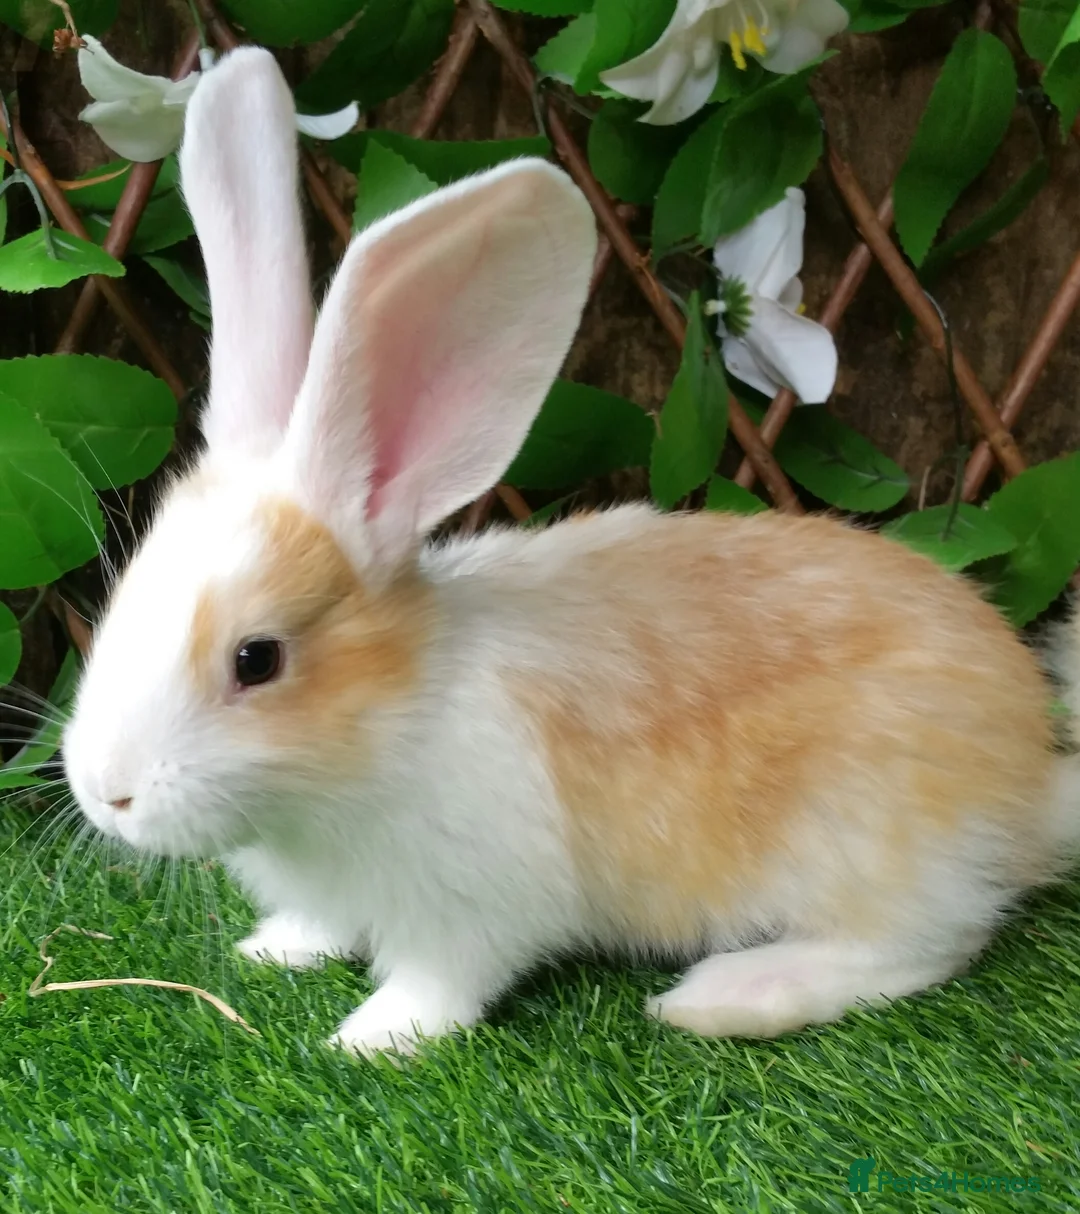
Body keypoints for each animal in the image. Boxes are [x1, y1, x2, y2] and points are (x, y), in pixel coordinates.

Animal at [63, 46, 1080, 1057]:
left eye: (257, 660)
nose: (106, 793)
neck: (391, 720)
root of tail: (1026, 781)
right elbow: (322, 927)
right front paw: (274, 950)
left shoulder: (475, 910)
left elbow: (442, 981)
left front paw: (370, 1039)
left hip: (861, 842)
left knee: (926, 944)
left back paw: (727, 995)